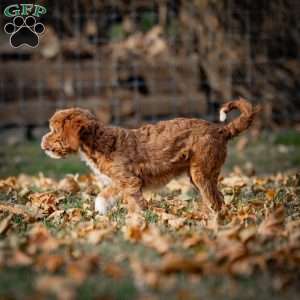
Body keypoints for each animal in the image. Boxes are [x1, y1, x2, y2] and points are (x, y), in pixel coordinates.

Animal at [41, 99, 258, 214]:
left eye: (54, 130)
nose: (42, 144)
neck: (99, 141)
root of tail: (221, 130)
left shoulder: (129, 181)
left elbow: (125, 202)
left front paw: (136, 222)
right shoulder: (121, 183)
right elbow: (112, 197)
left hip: (201, 173)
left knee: (215, 200)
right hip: (200, 175)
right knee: (218, 198)